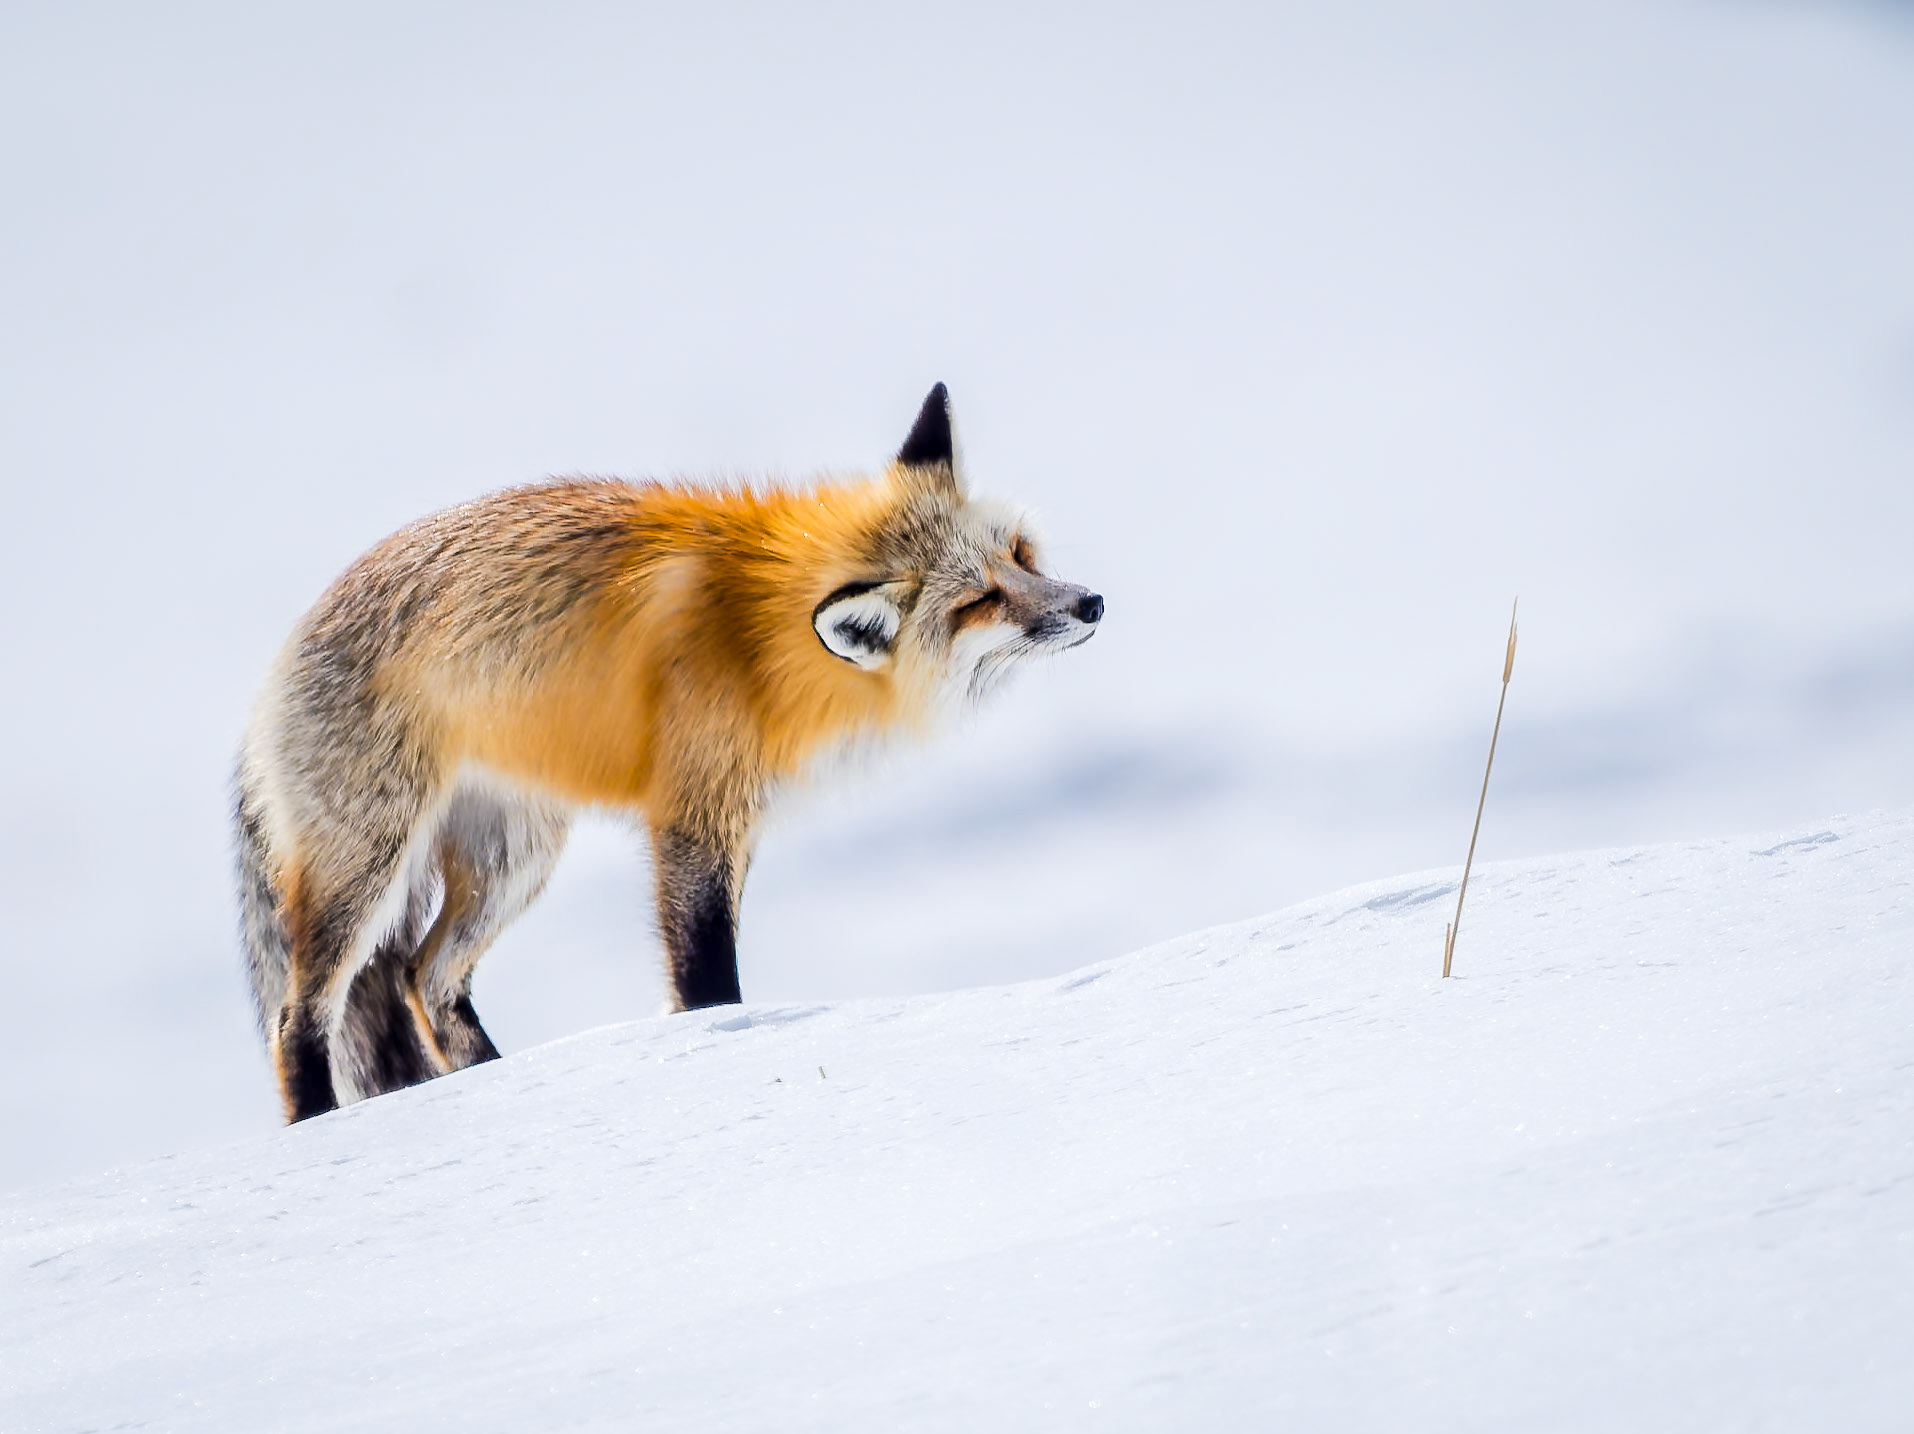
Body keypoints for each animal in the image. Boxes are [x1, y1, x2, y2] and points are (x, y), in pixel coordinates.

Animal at [235, 385, 1103, 1122]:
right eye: (979, 602)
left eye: (1021, 554)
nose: (1091, 602)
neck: (763, 640)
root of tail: (269, 678)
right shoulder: (691, 816)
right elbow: (706, 972)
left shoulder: (737, 822)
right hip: (369, 868)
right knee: (298, 1018)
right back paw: (318, 1125)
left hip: (513, 862)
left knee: (426, 976)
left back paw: (494, 1076)